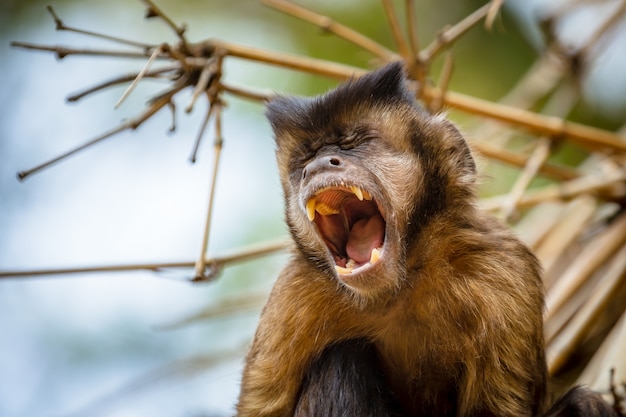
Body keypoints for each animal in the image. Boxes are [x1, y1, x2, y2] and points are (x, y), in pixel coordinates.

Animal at [233, 61, 616, 416]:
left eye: (355, 143)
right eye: (304, 161)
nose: (318, 166)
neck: (401, 285)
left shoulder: (505, 268)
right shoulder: (292, 298)